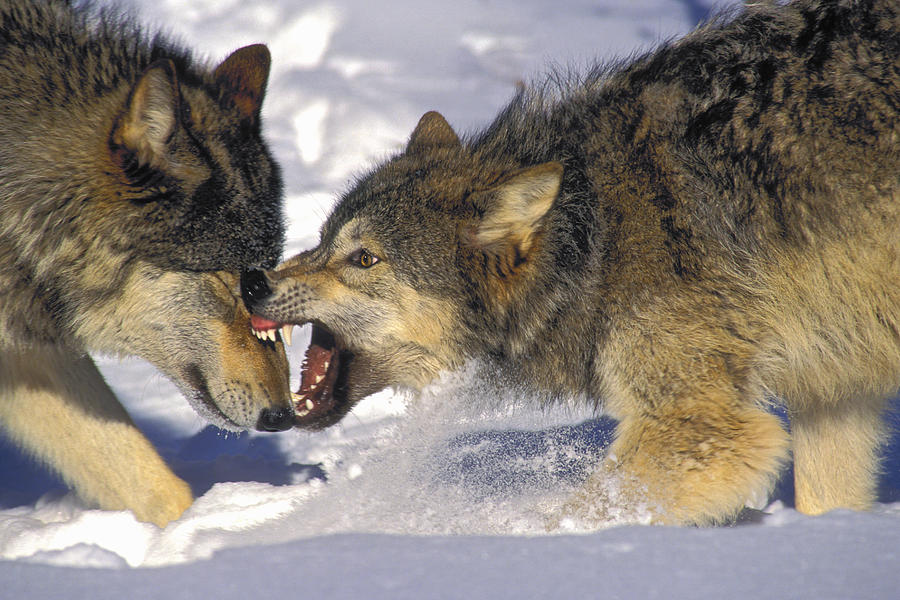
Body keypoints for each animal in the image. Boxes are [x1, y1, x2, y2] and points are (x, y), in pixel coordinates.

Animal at [243, 0, 900, 524]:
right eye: (322, 240)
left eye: (364, 258)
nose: (251, 281)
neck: (596, 243)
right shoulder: (832, 393)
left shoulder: (701, 429)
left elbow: (571, 515)